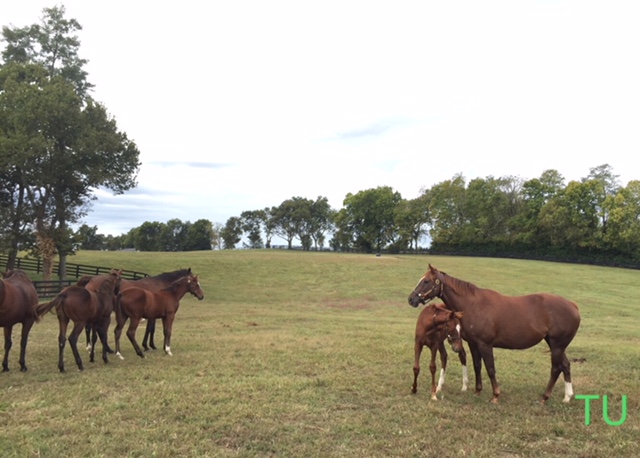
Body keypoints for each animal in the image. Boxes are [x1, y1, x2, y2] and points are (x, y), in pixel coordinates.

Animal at [408, 264, 584, 404]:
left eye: (426, 281)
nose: (411, 299)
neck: (473, 305)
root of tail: (573, 306)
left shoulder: (485, 345)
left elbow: (490, 368)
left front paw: (495, 395)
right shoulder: (474, 344)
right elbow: (477, 366)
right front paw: (477, 390)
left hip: (557, 346)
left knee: (555, 369)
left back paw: (545, 397)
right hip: (556, 345)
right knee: (565, 365)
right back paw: (567, 396)